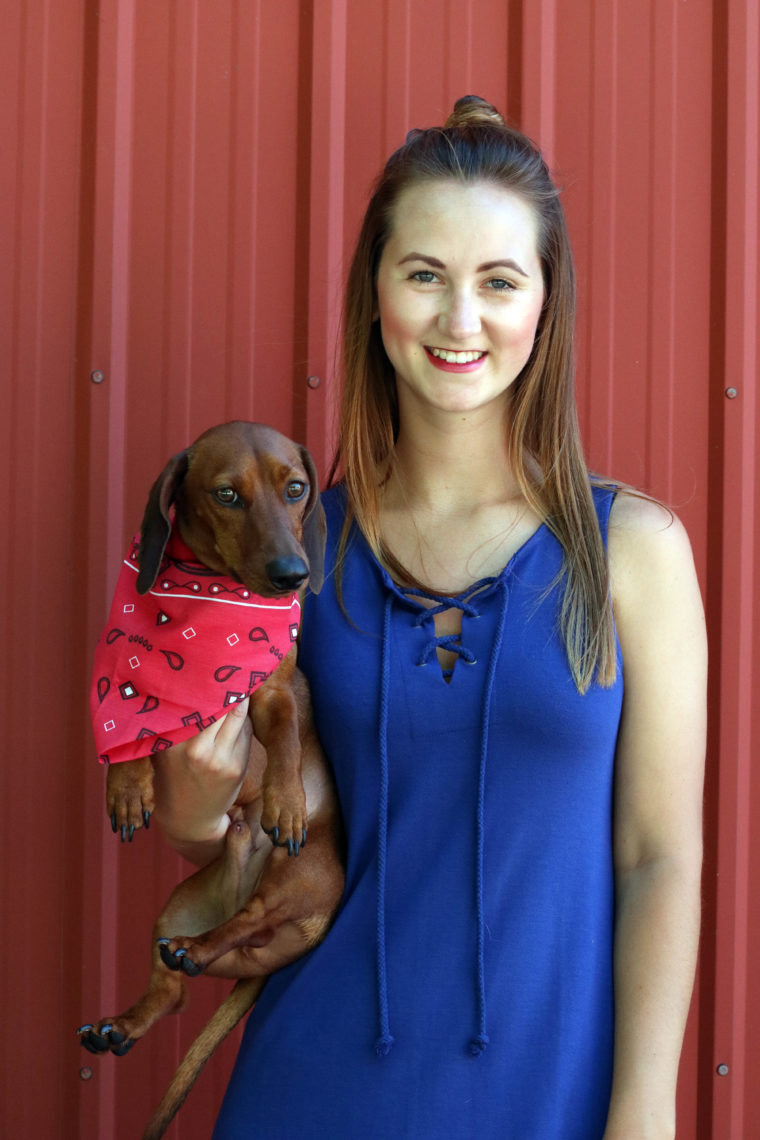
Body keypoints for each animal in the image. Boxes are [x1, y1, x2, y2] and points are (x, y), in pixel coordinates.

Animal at [78, 426, 344, 1140]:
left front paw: (286, 799)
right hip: (174, 907)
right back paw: (128, 1018)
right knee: (170, 993)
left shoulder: (276, 691)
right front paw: (128, 787)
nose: (291, 576)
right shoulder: (126, 683)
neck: (214, 602)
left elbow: (286, 738)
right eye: (227, 495)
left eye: (296, 488)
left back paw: (202, 947)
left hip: (300, 875)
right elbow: (132, 731)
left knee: (250, 918)